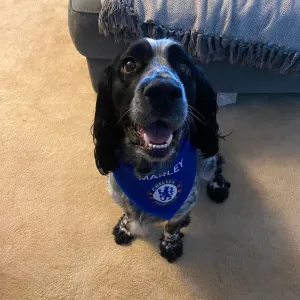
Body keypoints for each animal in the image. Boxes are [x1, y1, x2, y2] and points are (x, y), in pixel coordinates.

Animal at [92, 38, 231, 262]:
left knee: (216, 163)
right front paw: (125, 227)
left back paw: (218, 187)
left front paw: (170, 245)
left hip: (206, 160)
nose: (163, 91)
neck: (149, 169)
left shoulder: (183, 204)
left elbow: (172, 226)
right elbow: (128, 212)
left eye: (184, 66)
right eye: (129, 64)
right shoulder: (118, 194)